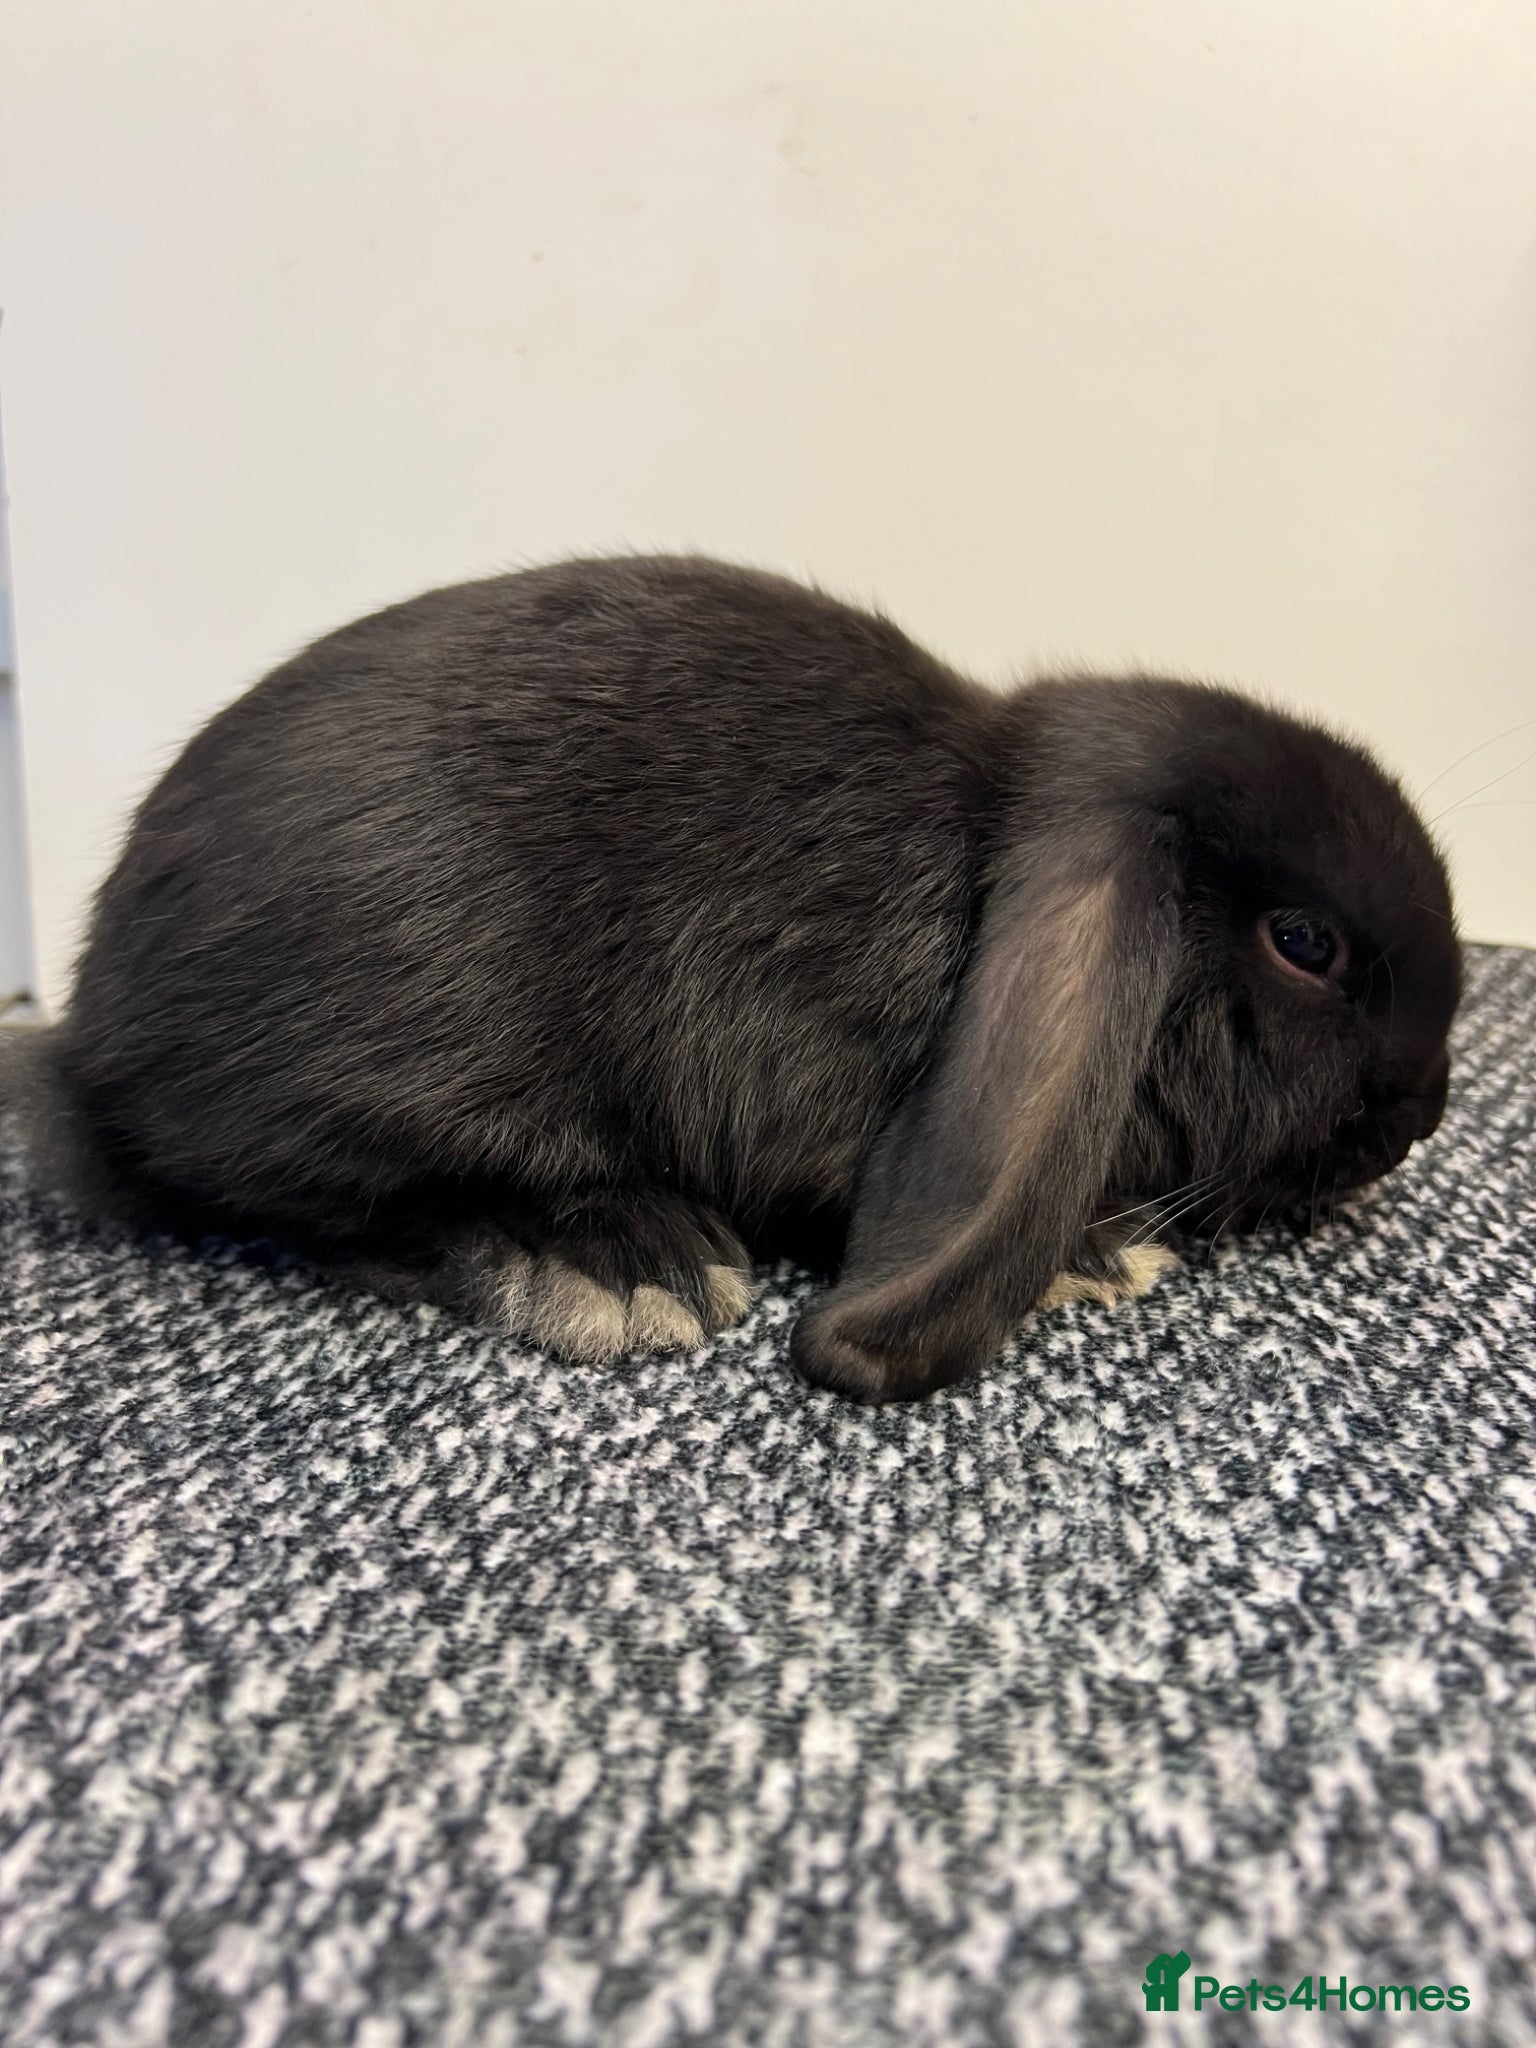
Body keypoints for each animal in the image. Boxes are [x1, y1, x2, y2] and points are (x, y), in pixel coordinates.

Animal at [10, 554, 1461, 1401]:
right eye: (1306, 945)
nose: (1422, 1115)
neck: (979, 855)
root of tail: (90, 1051)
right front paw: (1094, 1252)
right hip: (390, 1063)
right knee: (343, 1213)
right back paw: (621, 1260)